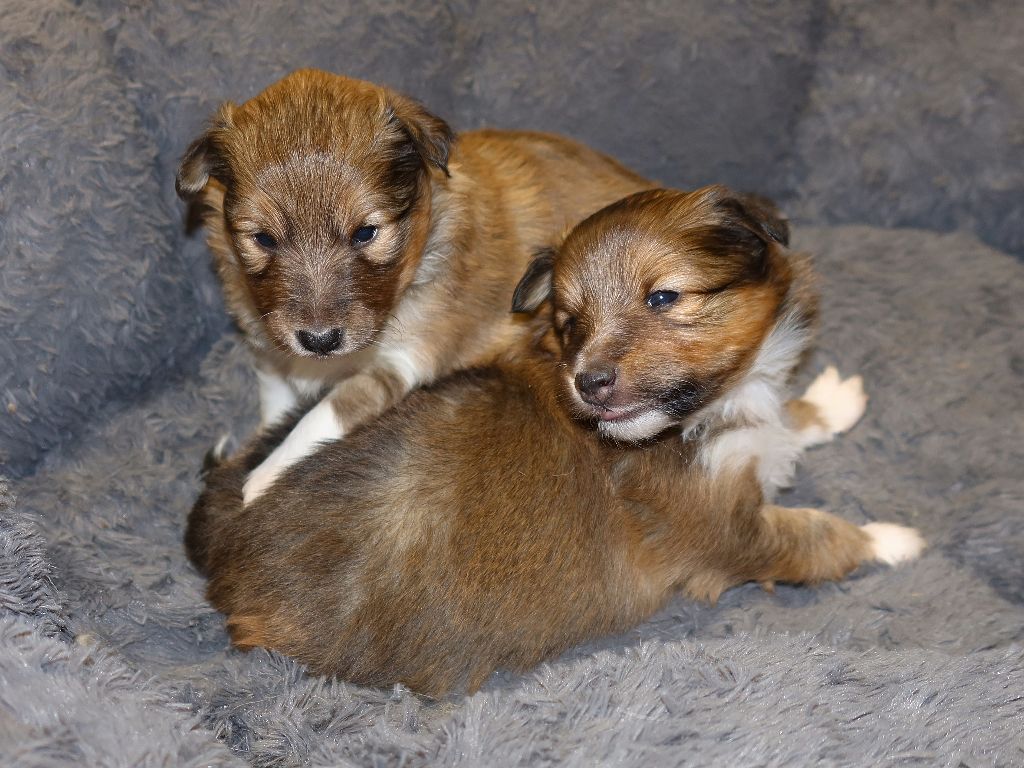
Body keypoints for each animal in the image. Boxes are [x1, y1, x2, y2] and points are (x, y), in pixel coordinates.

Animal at [176, 67, 651, 505]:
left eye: (365, 233)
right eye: (263, 239)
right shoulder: (268, 344)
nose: (320, 340)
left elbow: (326, 411)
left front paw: (264, 476)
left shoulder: (402, 360)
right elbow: (274, 398)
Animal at [188, 185, 925, 696]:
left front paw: (830, 402)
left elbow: (786, 419)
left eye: (664, 298)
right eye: (570, 322)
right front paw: (893, 540)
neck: (710, 409)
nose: (590, 382)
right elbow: (816, 537)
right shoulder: (726, 530)